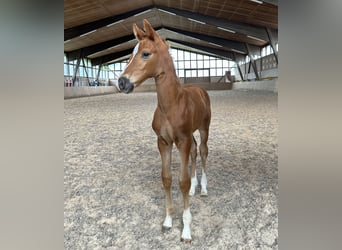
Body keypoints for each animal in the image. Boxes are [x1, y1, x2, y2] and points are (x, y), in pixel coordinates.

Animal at [118, 19, 211, 242]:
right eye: (129, 56)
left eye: (145, 54)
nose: (122, 82)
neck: (171, 105)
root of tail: (200, 89)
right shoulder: (164, 142)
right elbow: (167, 178)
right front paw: (168, 220)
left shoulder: (182, 141)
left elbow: (182, 181)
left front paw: (186, 230)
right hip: (190, 135)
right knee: (195, 152)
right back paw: (195, 188)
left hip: (204, 128)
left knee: (203, 151)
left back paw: (203, 188)